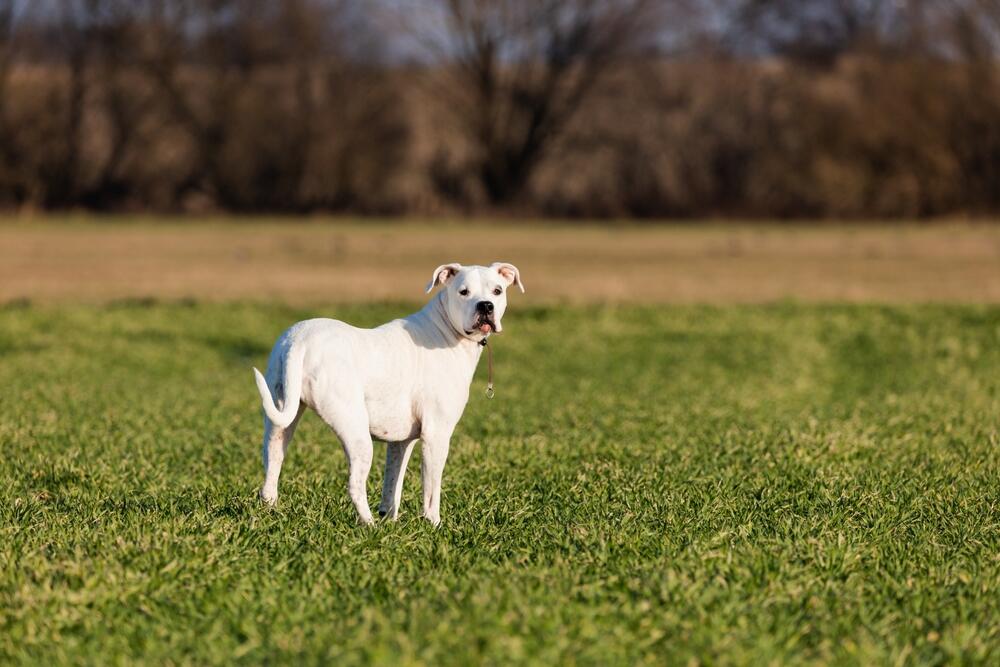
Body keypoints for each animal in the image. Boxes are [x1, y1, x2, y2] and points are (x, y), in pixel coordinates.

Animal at [250, 260, 524, 528]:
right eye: (463, 292)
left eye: (497, 291)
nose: (485, 306)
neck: (446, 329)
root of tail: (300, 342)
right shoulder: (436, 435)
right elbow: (431, 491)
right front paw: (433, 525)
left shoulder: (402, 441)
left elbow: (393, 486)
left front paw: (390, 520)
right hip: (356, 432)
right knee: (355, 485)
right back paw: (370, 526)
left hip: (280, 422)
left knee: (272, 470)